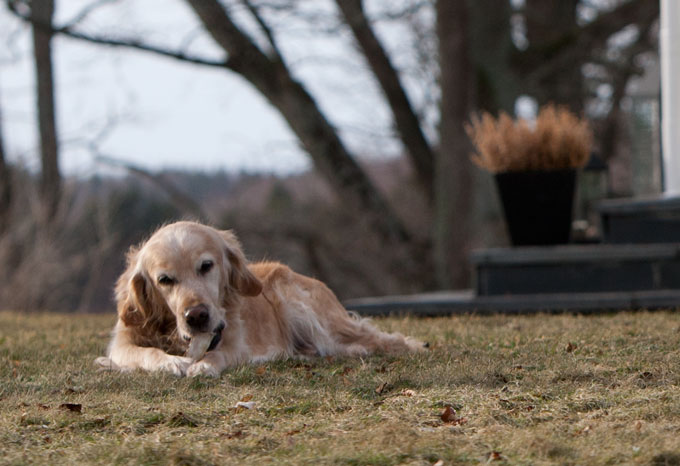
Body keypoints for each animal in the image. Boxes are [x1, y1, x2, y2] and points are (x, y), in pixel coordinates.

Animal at [95, 220, 424, 376]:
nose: (196, 316)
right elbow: (144, 352)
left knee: (377, 339)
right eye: (165, 280)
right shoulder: (123, 341)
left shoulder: (235, 342)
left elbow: (219, 354)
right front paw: (169, 363)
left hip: (305, 310)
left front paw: (204, 365)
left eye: (206, 266)